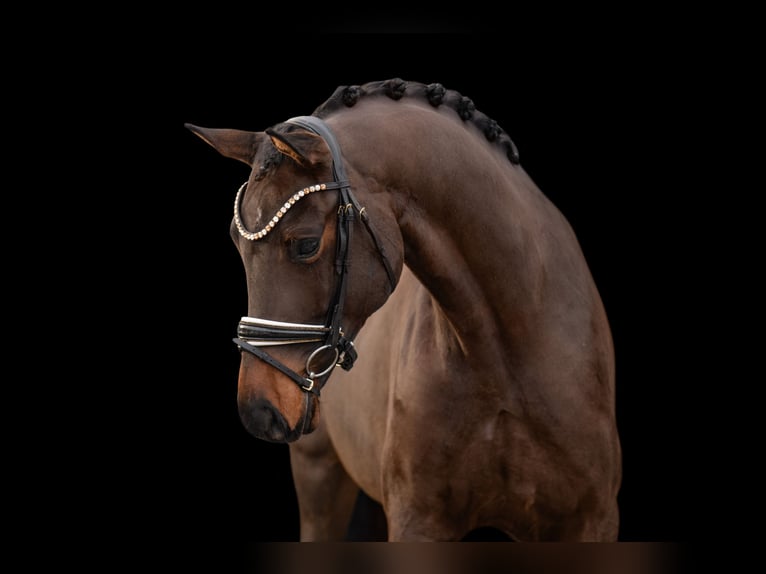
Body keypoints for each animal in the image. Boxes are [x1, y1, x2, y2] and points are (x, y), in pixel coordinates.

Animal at [185, 78, 622, 541]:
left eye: (305, 244)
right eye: (236, 242)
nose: (258, 411)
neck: (511, 354)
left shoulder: (591, 521)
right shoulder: (419, 519)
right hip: (319, 476)